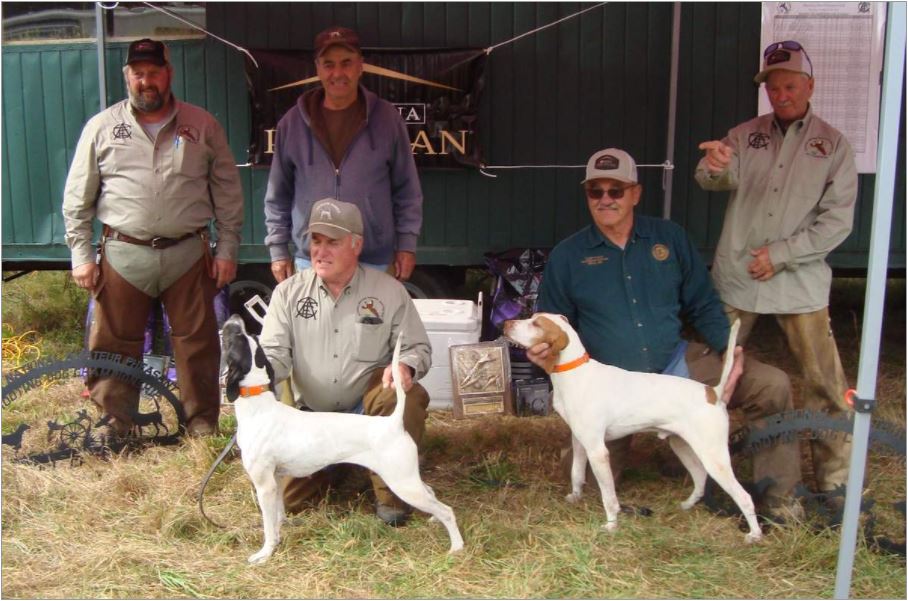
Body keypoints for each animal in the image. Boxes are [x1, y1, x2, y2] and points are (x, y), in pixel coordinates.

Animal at [218, 314, 462, 564]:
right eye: (245, 336)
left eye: (234, 337)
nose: (235, 317)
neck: (259, 406)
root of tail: (393, 422)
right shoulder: (275, 479)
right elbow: (277, 518)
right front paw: (277, 539)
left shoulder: (264, 485)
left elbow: (268, 526)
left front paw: (264, 553)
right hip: (408, 478)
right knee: (432, 493)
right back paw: (434, 520)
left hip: (402, 483)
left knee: (447, 511)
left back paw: (456, 547)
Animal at [500, 314, 764, 544]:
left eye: (536, 324)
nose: (506, 322)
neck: (575, 374)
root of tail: (714, 393)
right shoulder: (580, 441)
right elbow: (576, 474)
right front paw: (575, 497)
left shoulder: (598, 451)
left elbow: (609, 497)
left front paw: (612, 525)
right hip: (682, 445)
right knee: (700, 479)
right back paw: (687, 506)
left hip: (714, 456)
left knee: (744, 497)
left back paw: (755, 535)